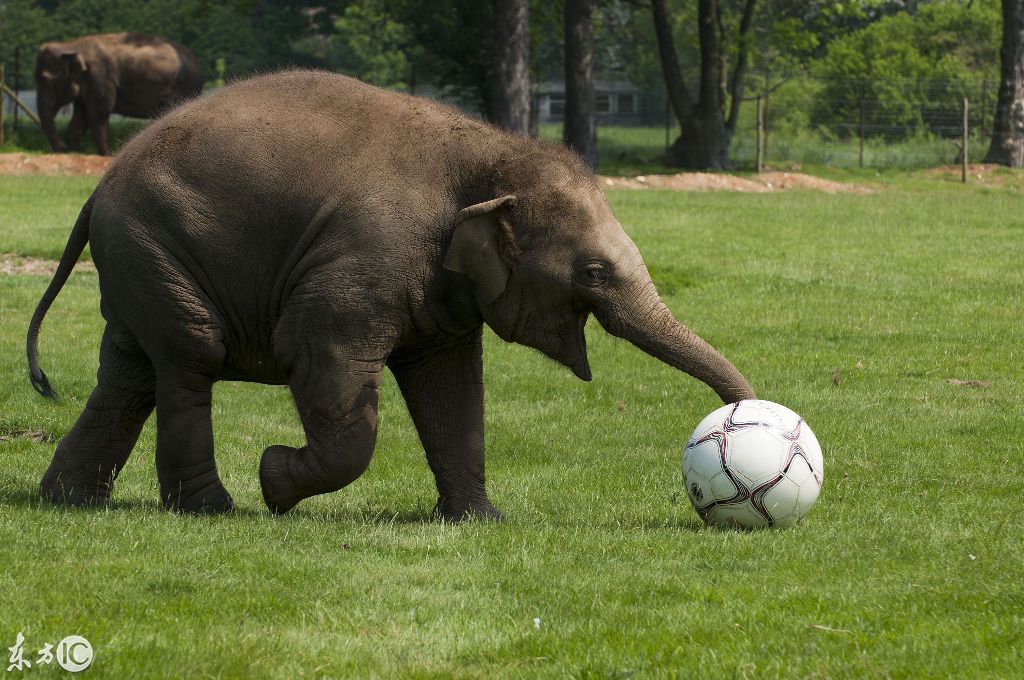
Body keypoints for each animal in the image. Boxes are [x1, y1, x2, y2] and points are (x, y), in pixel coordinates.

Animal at [28, 70, 757, 520]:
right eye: (596, 272)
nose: (743, 416)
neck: (491, 154)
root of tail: (98, 187)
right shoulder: (372, 252)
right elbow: (318, 351)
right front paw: (274, 479)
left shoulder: (441, 287)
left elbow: (450, 382)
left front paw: (481, 521)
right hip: (154, 246)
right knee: (189, 358)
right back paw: (212, 507)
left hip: (143, 261)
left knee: (129, 372)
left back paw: (69, 500)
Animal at [35, 32, 201, 153]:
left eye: (47, 81)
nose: (61, 149)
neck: (72, 45)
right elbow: (81, 117)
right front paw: (75, 150)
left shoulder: (100, 77)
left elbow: (98, 113)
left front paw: (106, 154)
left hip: (178, 88)